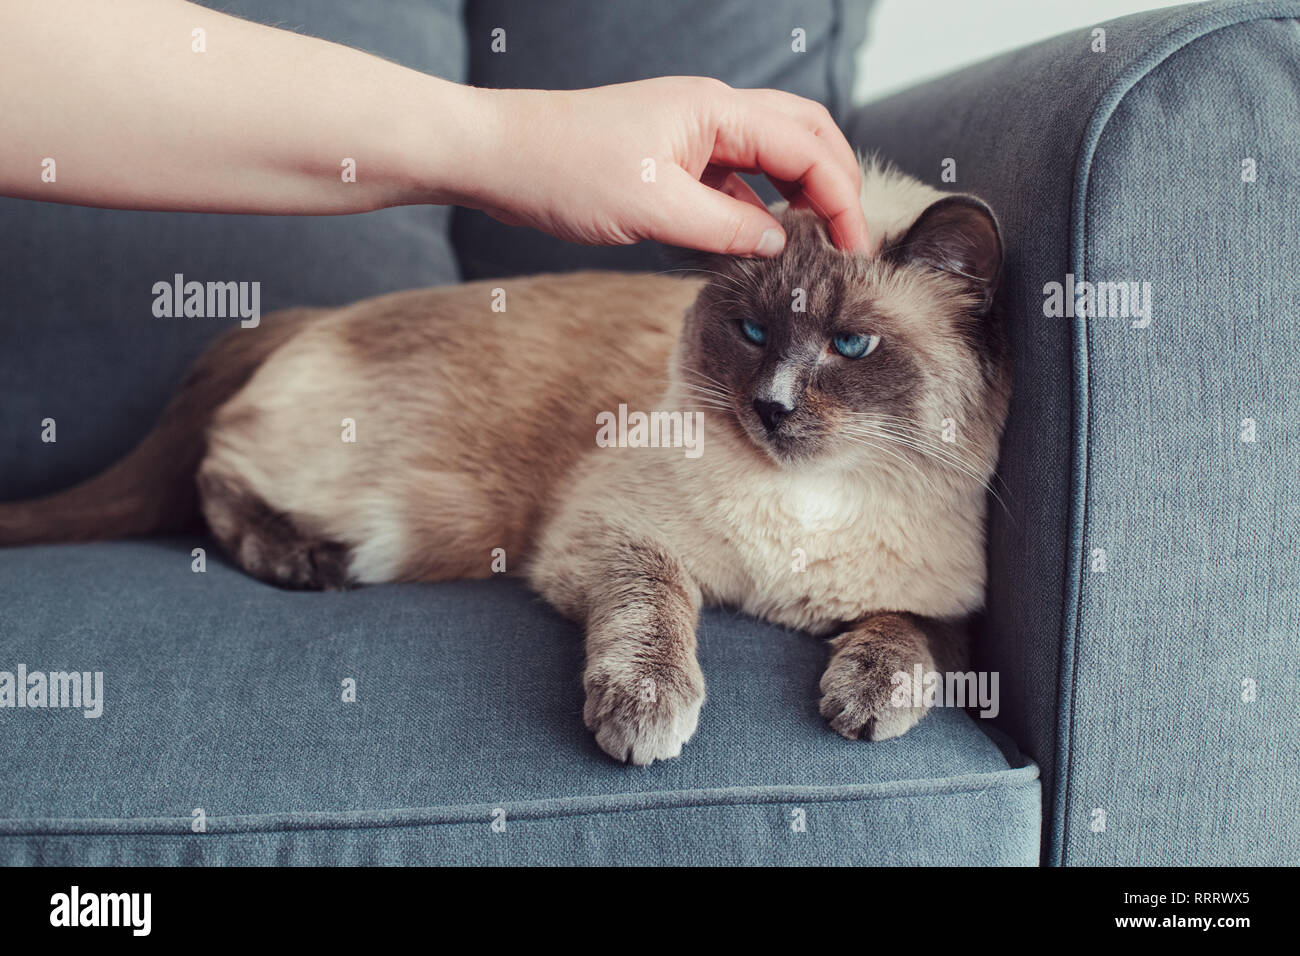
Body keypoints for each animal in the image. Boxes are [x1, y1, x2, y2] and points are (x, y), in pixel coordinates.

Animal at [0, 160, 1008, 764]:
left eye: (850, 346)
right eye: (754, 332)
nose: (771, 408)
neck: (807, 503)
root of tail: (315, 314)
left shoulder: (951, 605)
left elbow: (915, 638)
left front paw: (864, 702)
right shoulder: (612, 534)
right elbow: (654, 614)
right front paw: (645, 718)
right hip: (408, 522)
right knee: (217, 477)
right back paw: (302, 563)